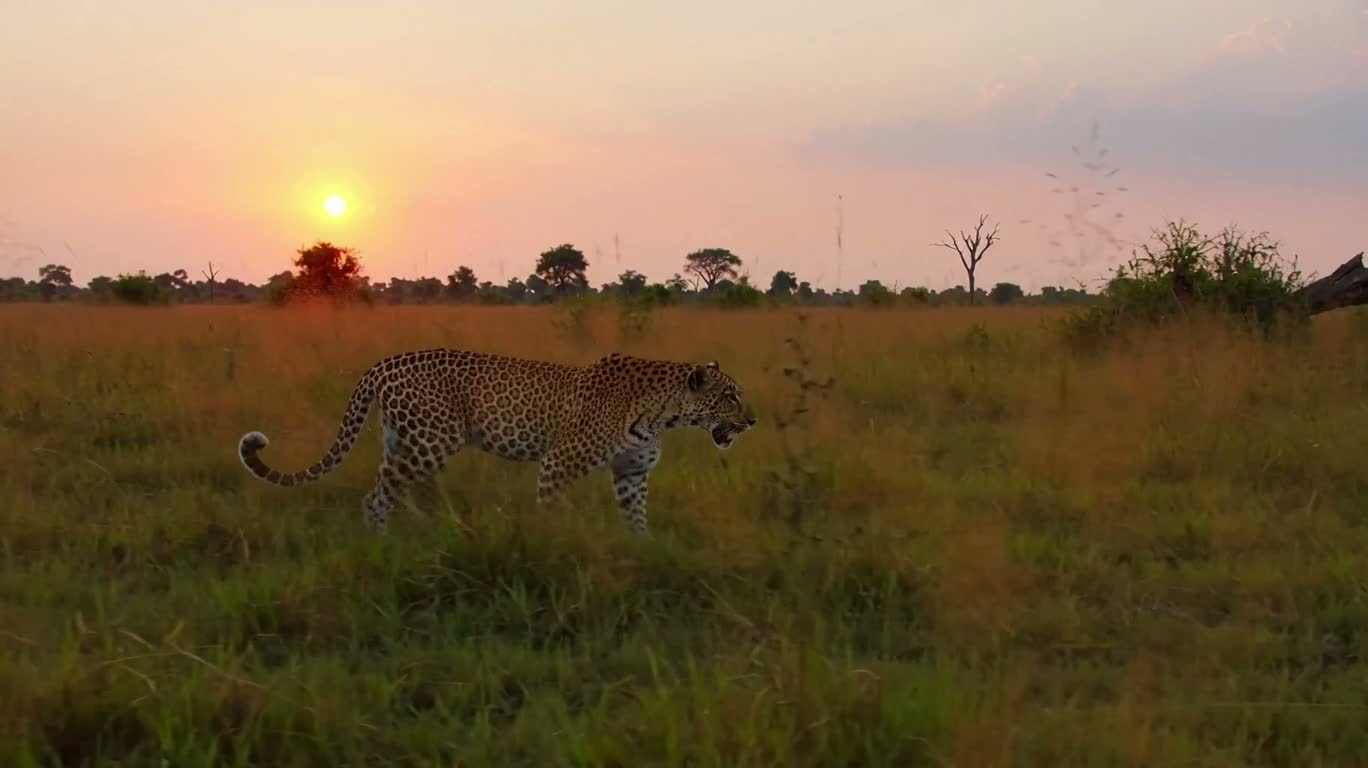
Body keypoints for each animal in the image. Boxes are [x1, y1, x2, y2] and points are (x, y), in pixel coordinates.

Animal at [237, 348, 756, 534]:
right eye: (730, 396)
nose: (752, 420)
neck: (662, 413)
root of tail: (385, 362)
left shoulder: (632, 472)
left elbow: (637, 519)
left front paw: (643, 550)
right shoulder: (560, 463)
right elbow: (550, 507)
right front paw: (552, 547)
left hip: (403, 440)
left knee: (394, 486)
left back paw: (424, 529)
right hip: (432, 441)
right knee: (376, 495)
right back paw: (381, 541)